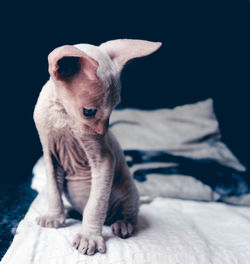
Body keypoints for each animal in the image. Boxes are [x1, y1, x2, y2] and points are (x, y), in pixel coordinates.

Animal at [33, 38, 162, 255]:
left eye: (113, 109)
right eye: (89, 112)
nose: (103, 133)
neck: (63, 115)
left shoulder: (104, 159)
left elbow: (95, 204)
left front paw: (89, 237)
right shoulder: (49, 153)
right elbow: (53, 189)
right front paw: (54, 216)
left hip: (128, 192)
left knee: (130, 213)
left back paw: (123, 225)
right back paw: (69, 211)